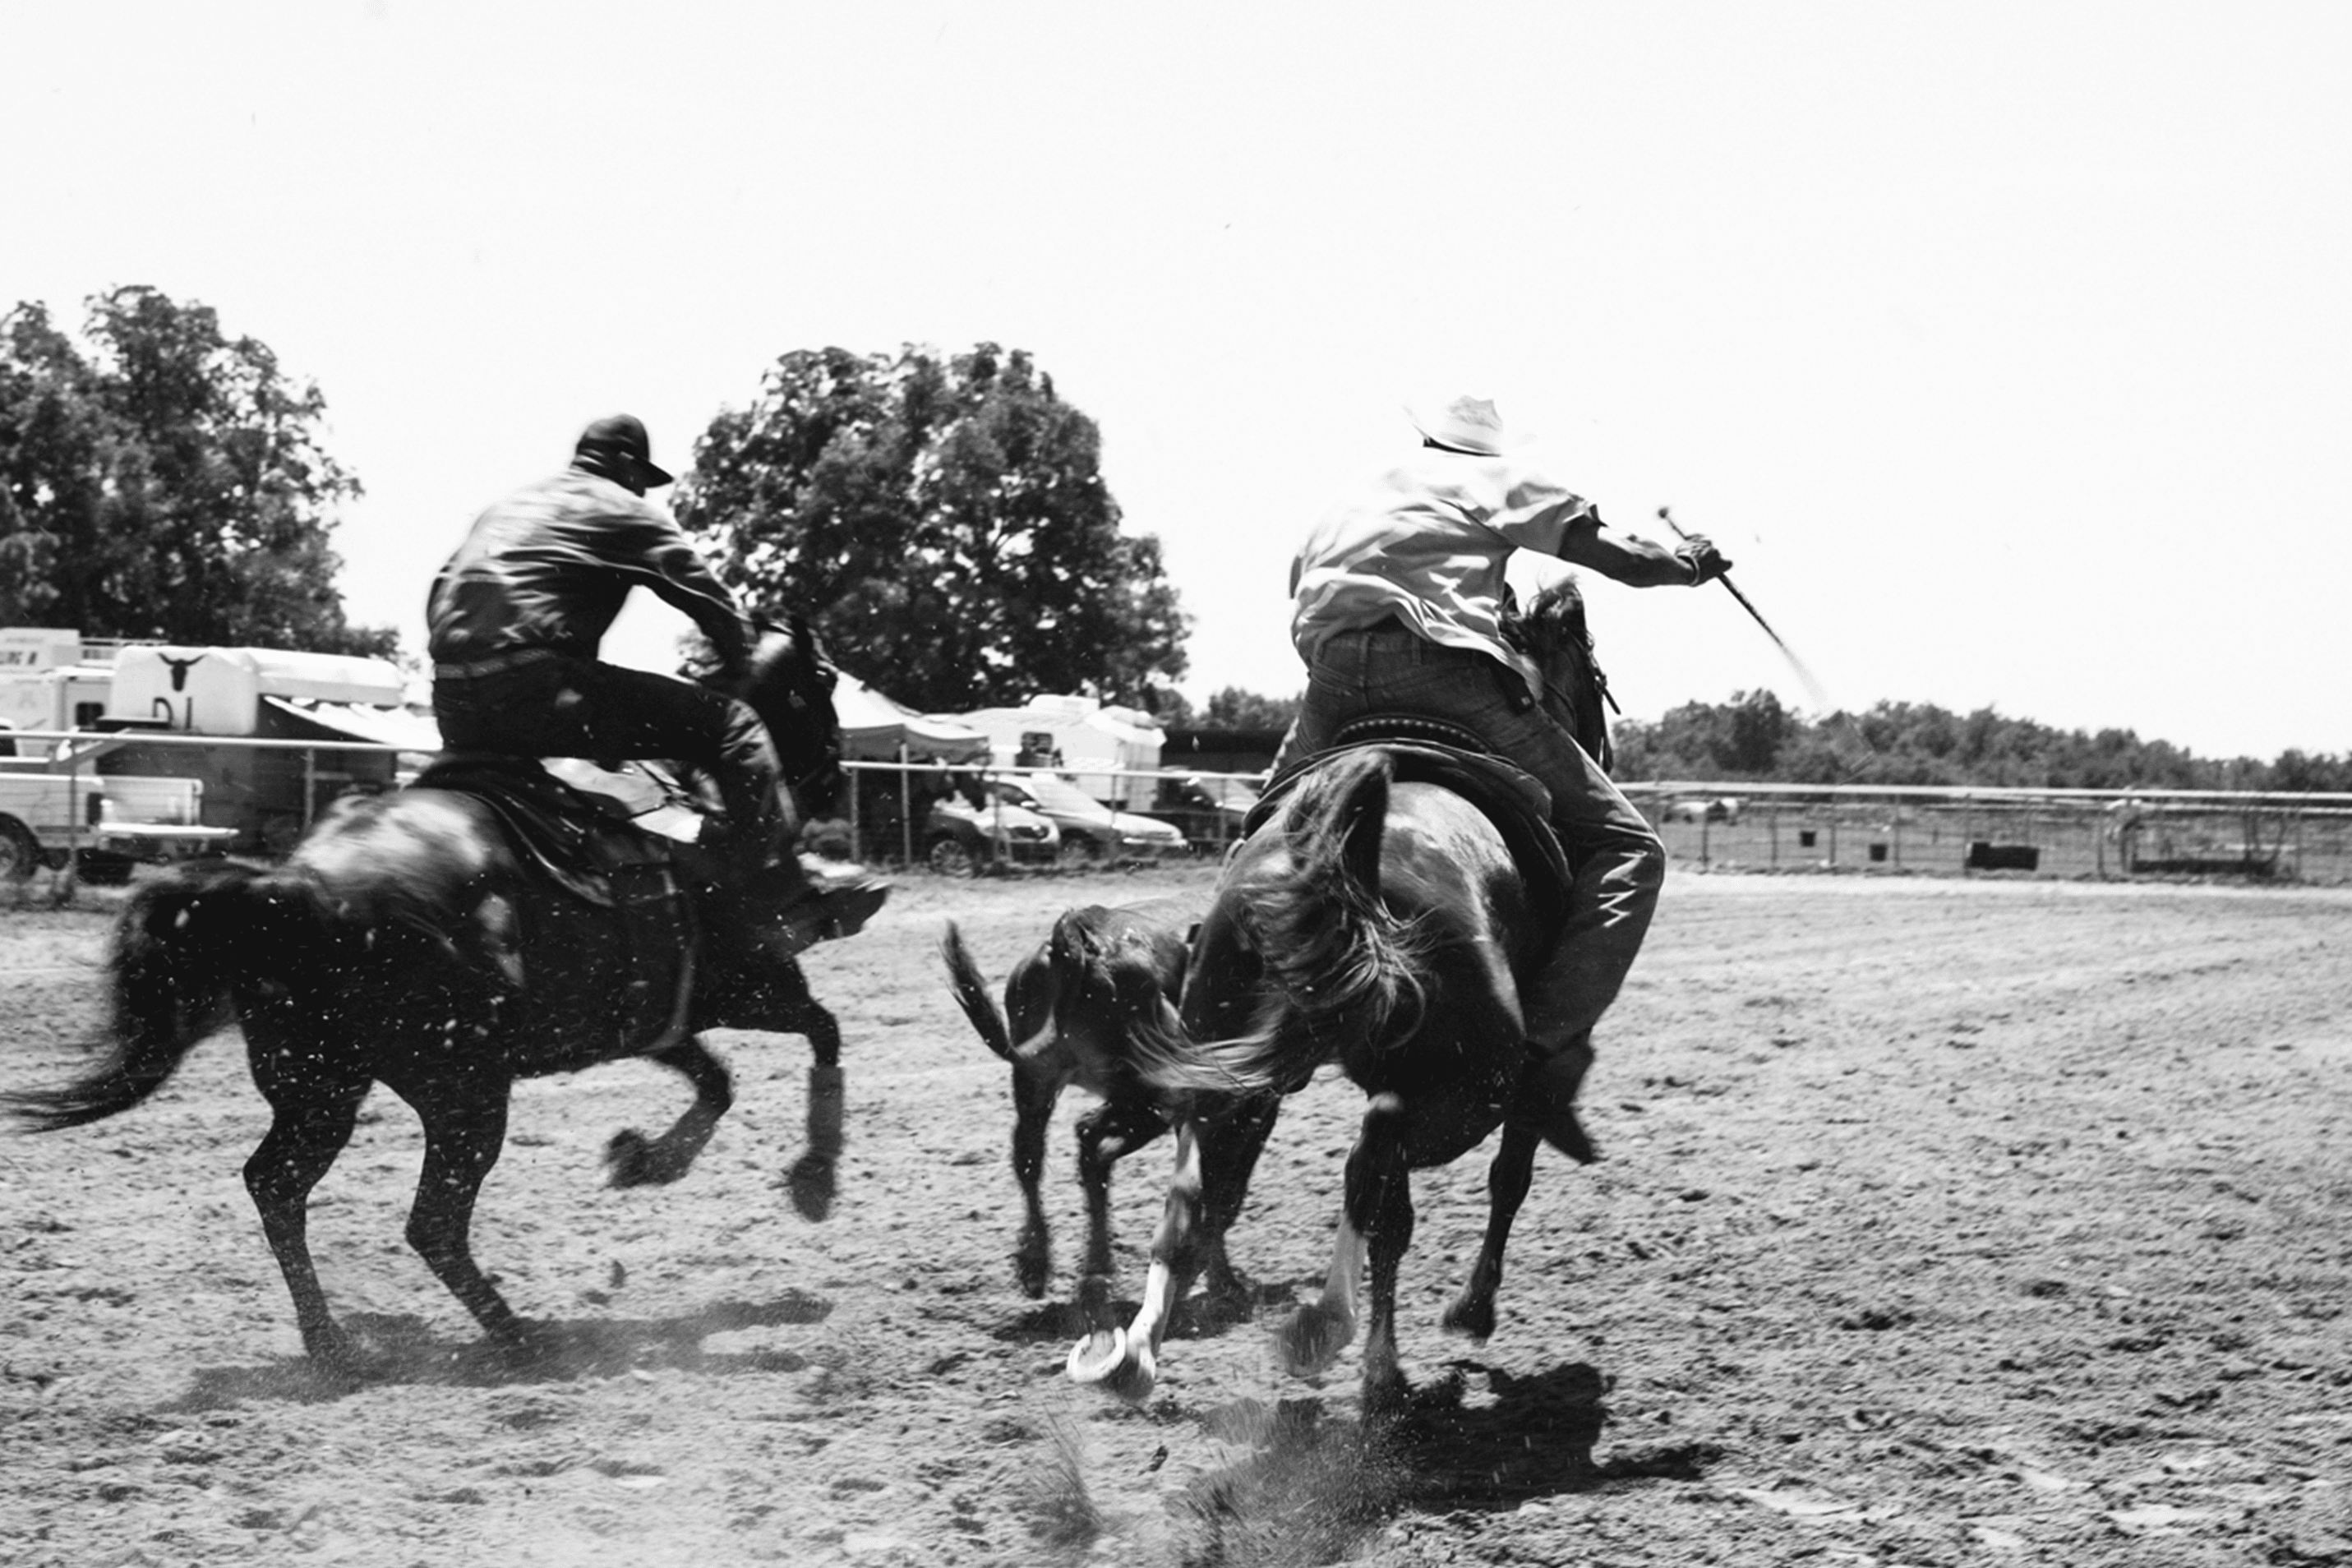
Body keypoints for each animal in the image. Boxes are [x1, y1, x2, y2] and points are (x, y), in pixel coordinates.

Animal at [4, 620, 869, 1382]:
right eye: (822, 685)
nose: (833, 780)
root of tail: (299, 887)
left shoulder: (657, 1020)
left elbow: (716, 1081)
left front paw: (647, 1159)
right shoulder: (756, 985)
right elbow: (821, 1031)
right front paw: (815, 1179)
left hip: (322, 1090)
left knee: (277, 1187)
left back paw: (334, 1344)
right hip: (464, 1094)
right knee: (431, 1223)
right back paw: (521, 1337)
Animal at [1072, 575, 1608, 1410]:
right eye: (1589, 663)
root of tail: (1344, 856)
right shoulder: (1530, 1072)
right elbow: (1506, 1179)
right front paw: (1472, 1311)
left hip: (1228, 1066)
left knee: (1196, 1199)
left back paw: (1134, 1354)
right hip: (1468, 1087)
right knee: (1374, 1170)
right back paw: (1339, 1337)